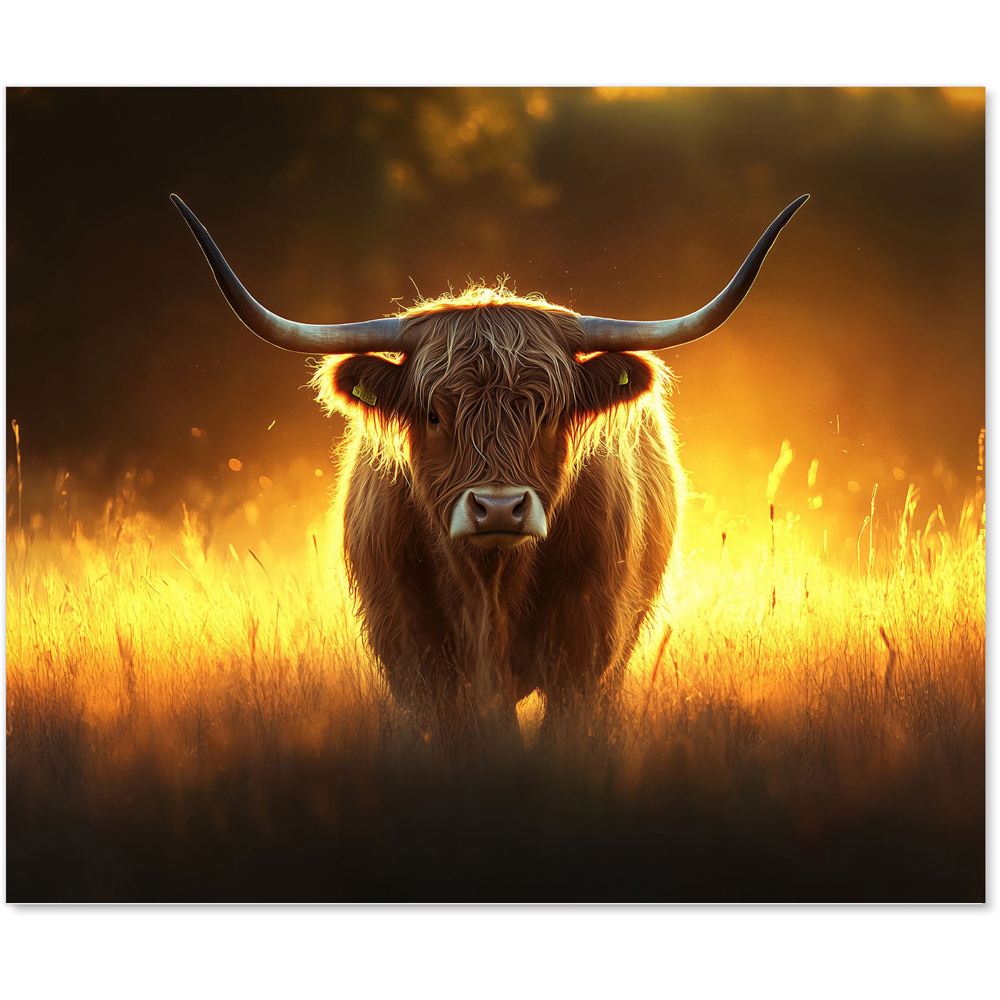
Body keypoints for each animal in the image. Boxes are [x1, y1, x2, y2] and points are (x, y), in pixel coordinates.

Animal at [172, 194, 807, 731]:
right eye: (434, 414)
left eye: (549, 413)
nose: (498, 509)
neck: (490, 587)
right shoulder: (413, 655)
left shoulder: (586, 653)